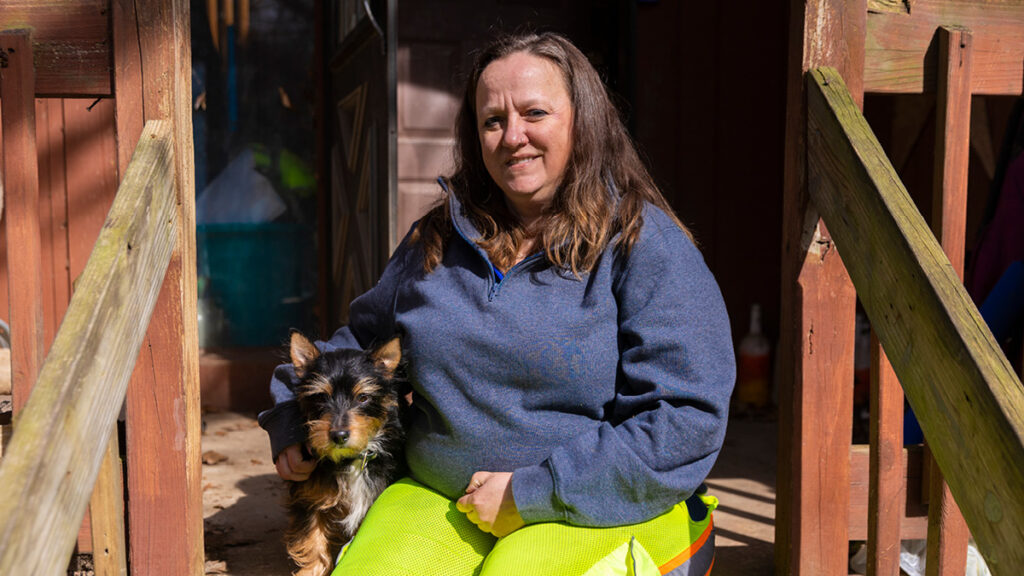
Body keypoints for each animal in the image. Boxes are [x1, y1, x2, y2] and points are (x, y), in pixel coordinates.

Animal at [284, 332, 407, 573]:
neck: (351, 460)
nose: (339, 435)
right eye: (321, 397)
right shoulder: (309, 498)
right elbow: (312, 542)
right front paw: (311, 571)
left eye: (363, 398)